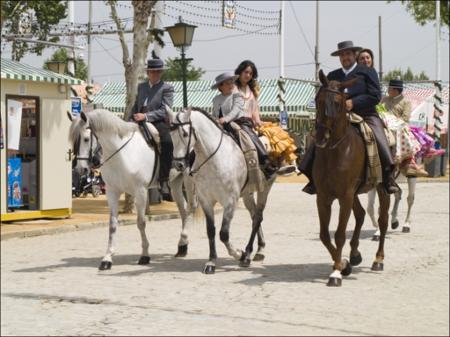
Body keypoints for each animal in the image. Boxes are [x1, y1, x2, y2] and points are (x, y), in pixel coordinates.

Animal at [67, 109, 196, 270]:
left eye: (85, 139)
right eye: (73, 141)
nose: (80, 169)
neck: (122, 154)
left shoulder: (140, 192)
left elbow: (141, 223)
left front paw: (145, 256)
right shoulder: (112, 192)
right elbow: (112, 225)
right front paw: (107, 258)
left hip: (188, 180)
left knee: (190, 208)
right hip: (175, 183)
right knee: (183, 210)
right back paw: (182, 247)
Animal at [167, 107, 276, 272]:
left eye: (185, 133)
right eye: (171, 134)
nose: (178, 165)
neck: (214, 159)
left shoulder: (230, 201)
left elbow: (223, 234)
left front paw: (239, 254)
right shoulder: (206, 200)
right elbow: (211, 231)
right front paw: (211, 261)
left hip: (264, 189)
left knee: (257, 217)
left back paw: (249, 254)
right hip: (247, 193)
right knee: (254, 216)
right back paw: (258, 249)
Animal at [312, 70, 390, 286]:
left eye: (339, 103)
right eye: (318, 100)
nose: (321, 136)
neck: (335, 150)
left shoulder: (345, 196)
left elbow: (339, 234)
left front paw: (336, 273)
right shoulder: (323, 196)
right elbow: (324, 235)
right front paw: (343, 264)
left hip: (381, 188)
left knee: (383, 221)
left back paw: (378, 260)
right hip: (354, 193)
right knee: (361, 214)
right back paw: (355, 255)